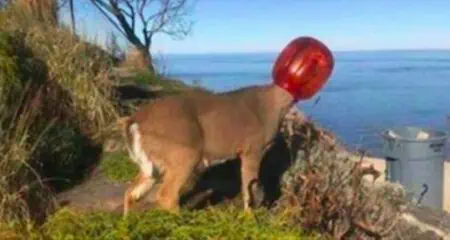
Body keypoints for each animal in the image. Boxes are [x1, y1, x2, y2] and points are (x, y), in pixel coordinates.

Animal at [117, 36, 334, 218]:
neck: (274, 104)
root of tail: (134, 121)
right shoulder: (253, 148)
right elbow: (249, 185)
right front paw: (249, 217)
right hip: (184, 150)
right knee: (165, 195)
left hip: (152, 161)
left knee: (132, 191)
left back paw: (128, 222)